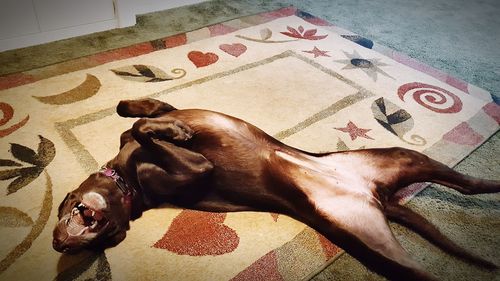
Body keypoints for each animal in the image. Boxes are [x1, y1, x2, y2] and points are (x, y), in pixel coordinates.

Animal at [53, 97, 500, 278]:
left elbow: (134, 113)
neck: (126, 181)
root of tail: (377, 197)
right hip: (377, 246)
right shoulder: (195, 168)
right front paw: (175, 133)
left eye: (66, 204)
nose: (59, 243)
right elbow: (144, 126)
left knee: (472, 184)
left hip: (403, 157)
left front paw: (173, 129)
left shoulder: (164, 111)